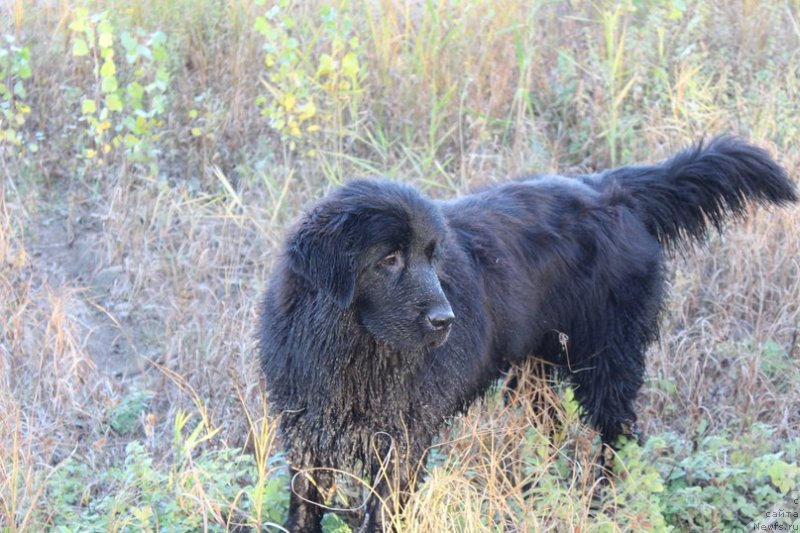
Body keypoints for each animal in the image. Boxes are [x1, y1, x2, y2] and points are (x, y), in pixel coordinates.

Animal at [260, 136, 796, 528]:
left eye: (434, 257)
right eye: (388, 259)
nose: (446, 321)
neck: (350, 351)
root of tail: (611, 189)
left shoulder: (401, 445)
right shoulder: (308, 437)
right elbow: (303, 511)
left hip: (606, 361)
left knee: (617, 435)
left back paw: (602, 505)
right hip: (535, 373)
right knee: (553, 432)